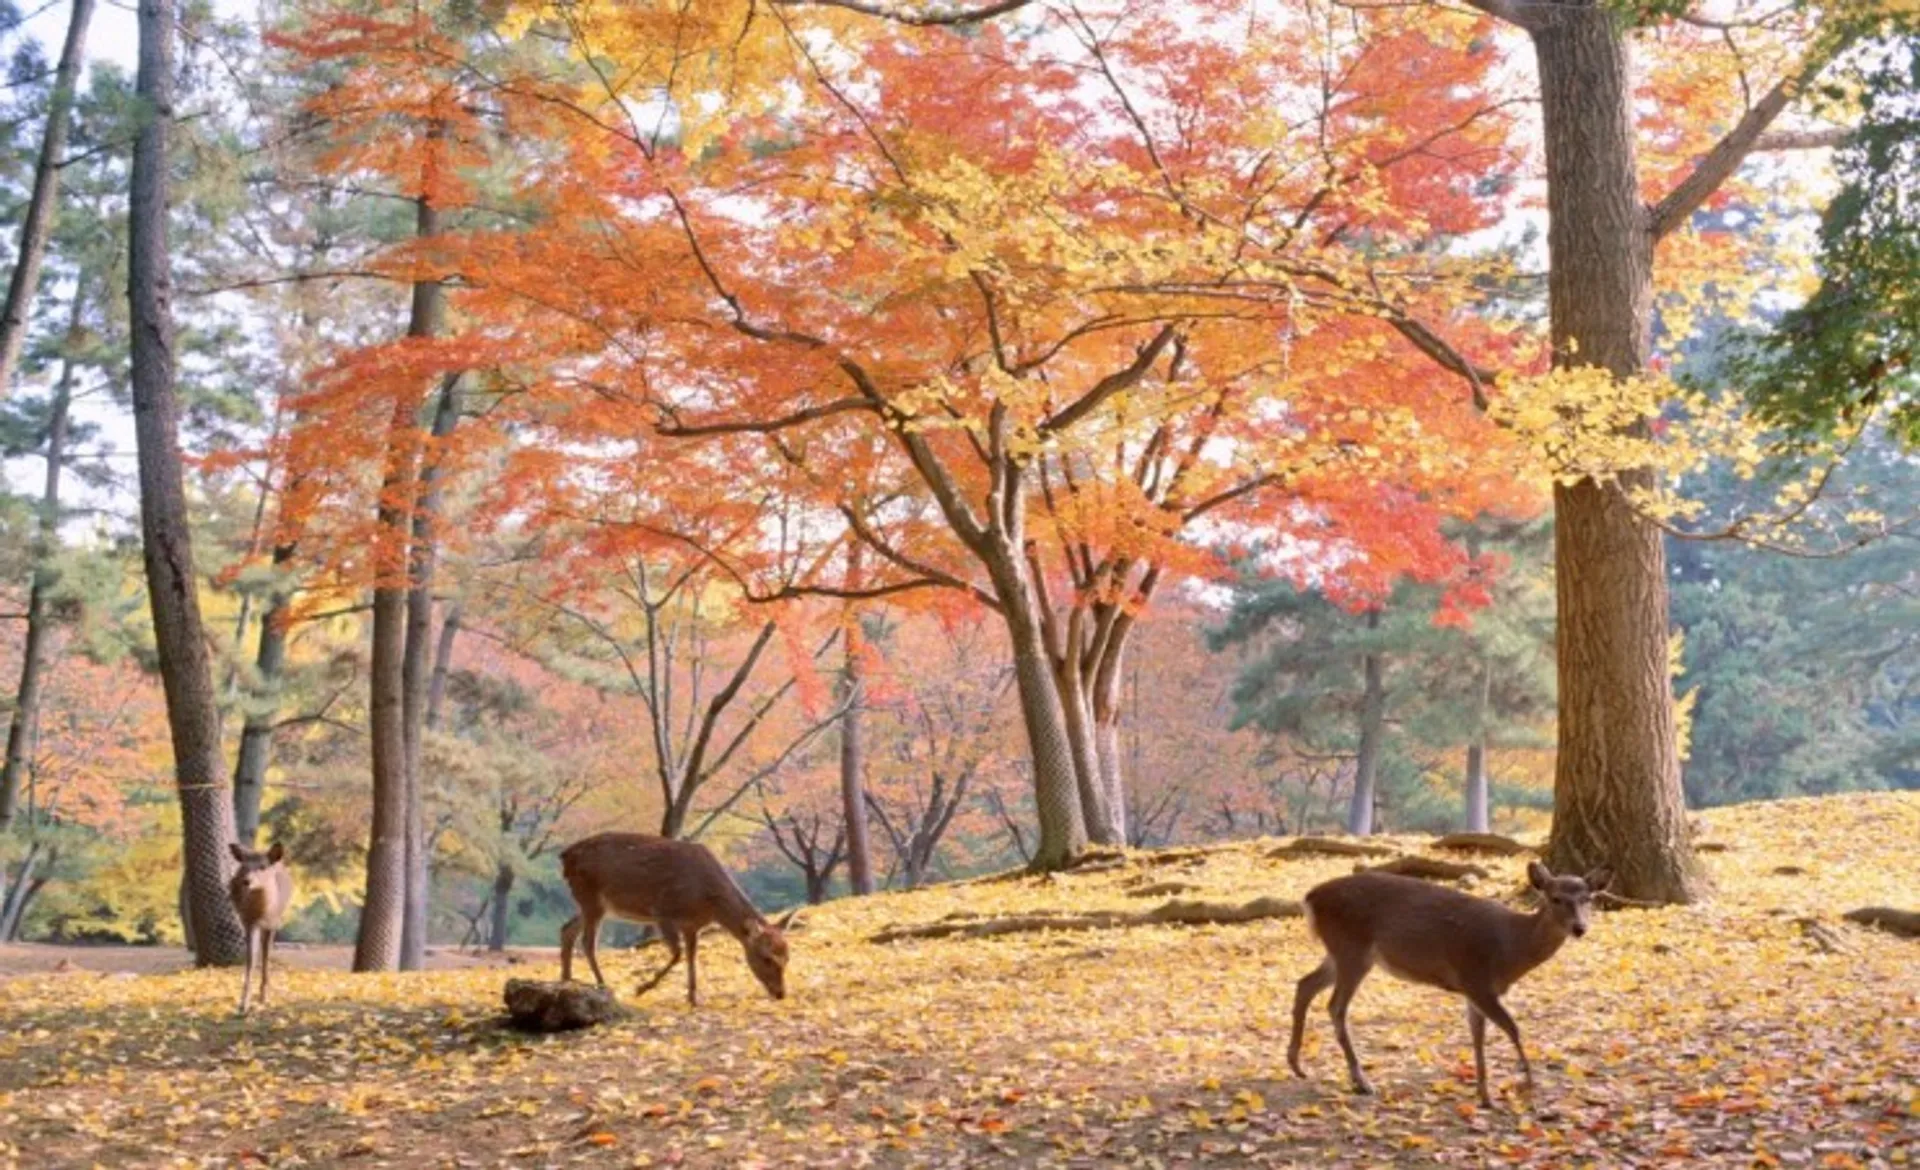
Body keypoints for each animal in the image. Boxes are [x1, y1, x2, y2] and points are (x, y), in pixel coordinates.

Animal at [227, 842, 294, 1015]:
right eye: (244, 866)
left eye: (263, 867)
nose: (246, 881)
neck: (262, 912)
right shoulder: (249, 922)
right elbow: (250, 959)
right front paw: (243, 1004)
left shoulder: (273, 923)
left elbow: (266, 956)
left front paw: (264, 997)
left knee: (265, 953)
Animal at [558, 832, 796, 1006]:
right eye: (766, 958)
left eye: (787, 958)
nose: (780, 993)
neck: (709, 902)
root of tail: (565, 857)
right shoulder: (663, 913)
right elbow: (678, 954)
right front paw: (642, 988)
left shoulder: (693, 926)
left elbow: (691, 956)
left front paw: (693, 997)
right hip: (590, 897)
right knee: (587, 942)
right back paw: (602, 984)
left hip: (594, 904)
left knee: (567, 929)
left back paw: (567, 979)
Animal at [1286, 860, 1611, 1107]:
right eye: (1555, 898)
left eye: (1588, 899)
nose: (1580, 928)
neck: (1511, 949)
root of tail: (1311, 897)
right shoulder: (1476, 978)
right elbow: (1513, 1028)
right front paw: (1528, 1087)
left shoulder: (1474, 991)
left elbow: (1478, 1037)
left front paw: (1485, 1096)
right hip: (1353, 948)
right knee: (1335, 1006)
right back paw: (1362, 1081)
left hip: (1339, 952)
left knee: (1305, 984)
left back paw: (1297, 1065)